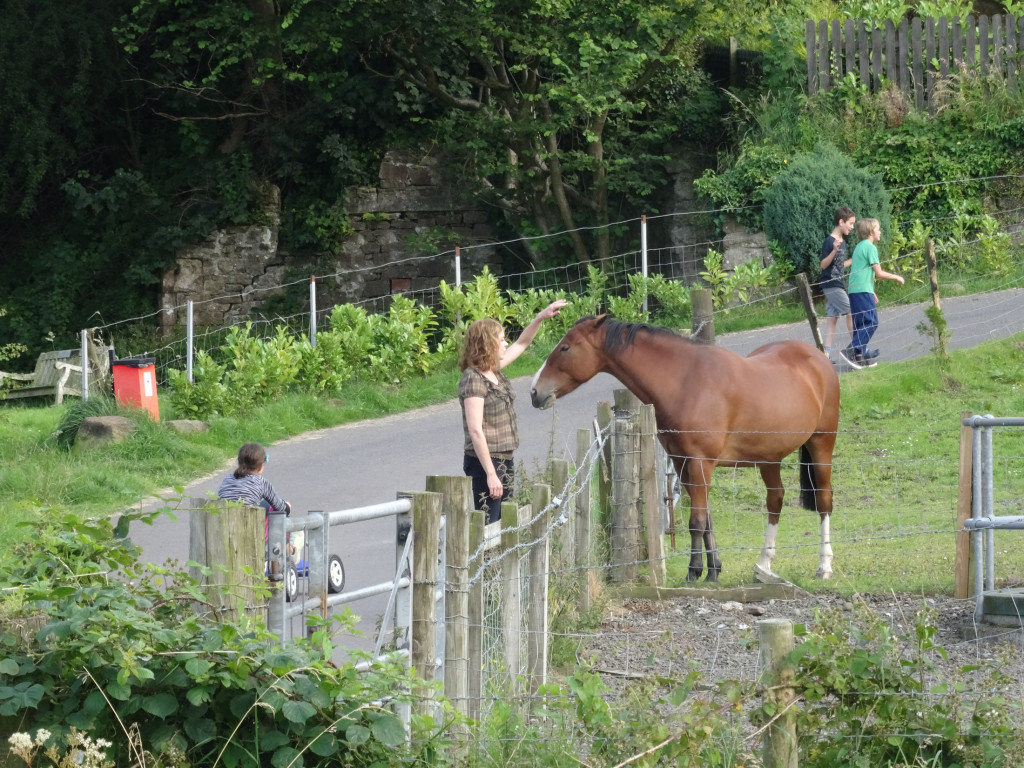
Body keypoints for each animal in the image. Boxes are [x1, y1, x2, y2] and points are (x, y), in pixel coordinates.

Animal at [528, 315, 839, 581]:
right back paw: (764, 565)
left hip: (821, 444)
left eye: (565, 347)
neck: (686, 382)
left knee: (824, 501)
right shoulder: (682, 462)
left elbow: (696, 520)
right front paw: (713, 570)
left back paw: (824, 566)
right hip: (768, 458)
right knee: (775, 501)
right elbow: (707, 519)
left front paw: (694, 571)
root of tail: (818, 358)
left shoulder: (701, 463)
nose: (534, 392)